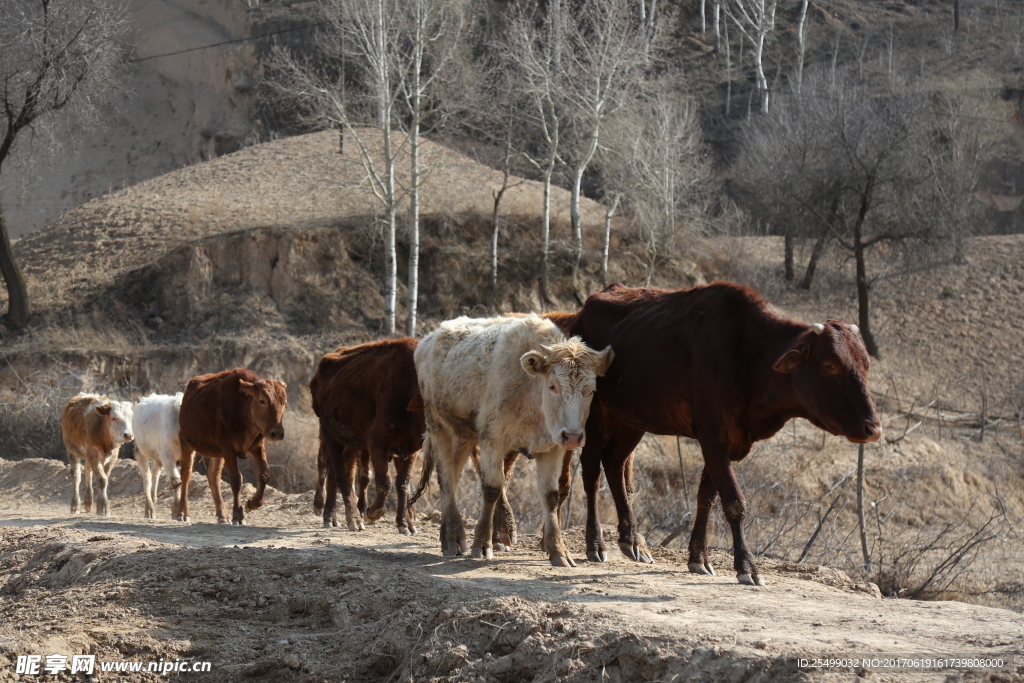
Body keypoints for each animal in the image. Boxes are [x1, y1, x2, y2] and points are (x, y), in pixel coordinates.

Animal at [176, 368, 288, 524]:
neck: (243, 409)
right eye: (262, 401)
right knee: (186, 475)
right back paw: (182, 513)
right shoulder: (229, 449)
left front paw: (251, 504)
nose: (277, 433)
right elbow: (236, 480)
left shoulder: (257, 447)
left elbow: (264, 475)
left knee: (213, 476)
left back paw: (223, 515)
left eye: (284, 402)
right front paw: (238, 515)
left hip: (217, 452)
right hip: (186, 443)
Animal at [311, 335, 423, 532]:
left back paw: (334, 516)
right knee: (338, 475)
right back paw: (351, 518)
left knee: (339, 475)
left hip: (348, 444)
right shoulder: (377, 444)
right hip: (330, 436)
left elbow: (402, 483)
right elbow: (384, 482)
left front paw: (405, 524)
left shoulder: (410, 449)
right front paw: (372, 512)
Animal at [413, 315, 610, 565]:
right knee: (446, 477)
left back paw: (447, 535)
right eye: (553, 386)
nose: (573, 436)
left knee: (454, 474)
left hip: (463, 435)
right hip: (438, 425)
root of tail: (428, 340)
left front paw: (559, 551)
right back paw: (453, 538)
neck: (531, 392)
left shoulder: (552, 448)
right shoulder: (492, 440)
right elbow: (492, 488)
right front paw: (482, 544)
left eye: (591, 391)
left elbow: (550, 495)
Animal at [569, 280, 880, 585]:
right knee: (592, 472)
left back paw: (632, 540)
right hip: (594, 411)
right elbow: (733, 502)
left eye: (865, 364)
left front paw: (699, 557)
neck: (748, 355)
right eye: (830, 365)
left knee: (614, 464)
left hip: (631, 419)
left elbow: (706, 497)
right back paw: (595, 543)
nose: (873, 428)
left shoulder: (727, 442)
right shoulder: (712, 436)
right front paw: (746, 566)